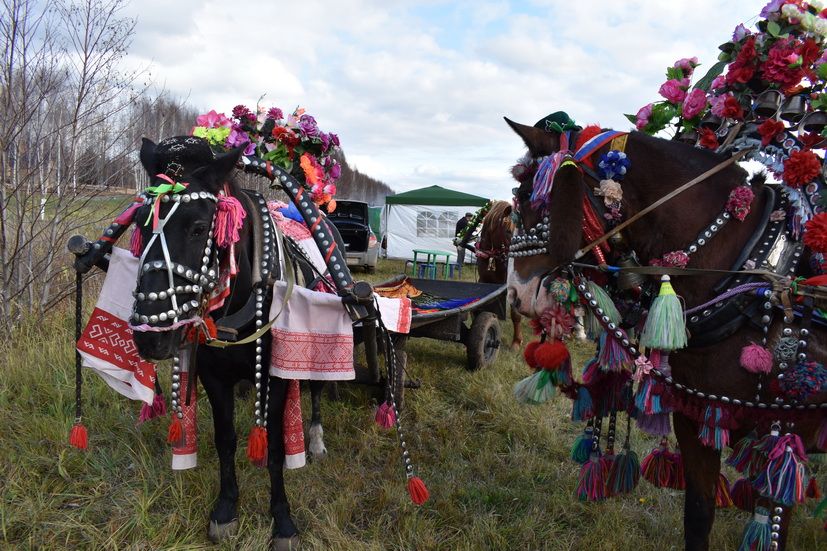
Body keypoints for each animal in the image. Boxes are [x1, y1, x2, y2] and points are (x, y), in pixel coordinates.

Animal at [504, 119, 827, 551]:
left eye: (527, 196)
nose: (515, 293)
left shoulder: (781, 441)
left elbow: (772, 528)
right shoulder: (697, 420)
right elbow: (698, 516)